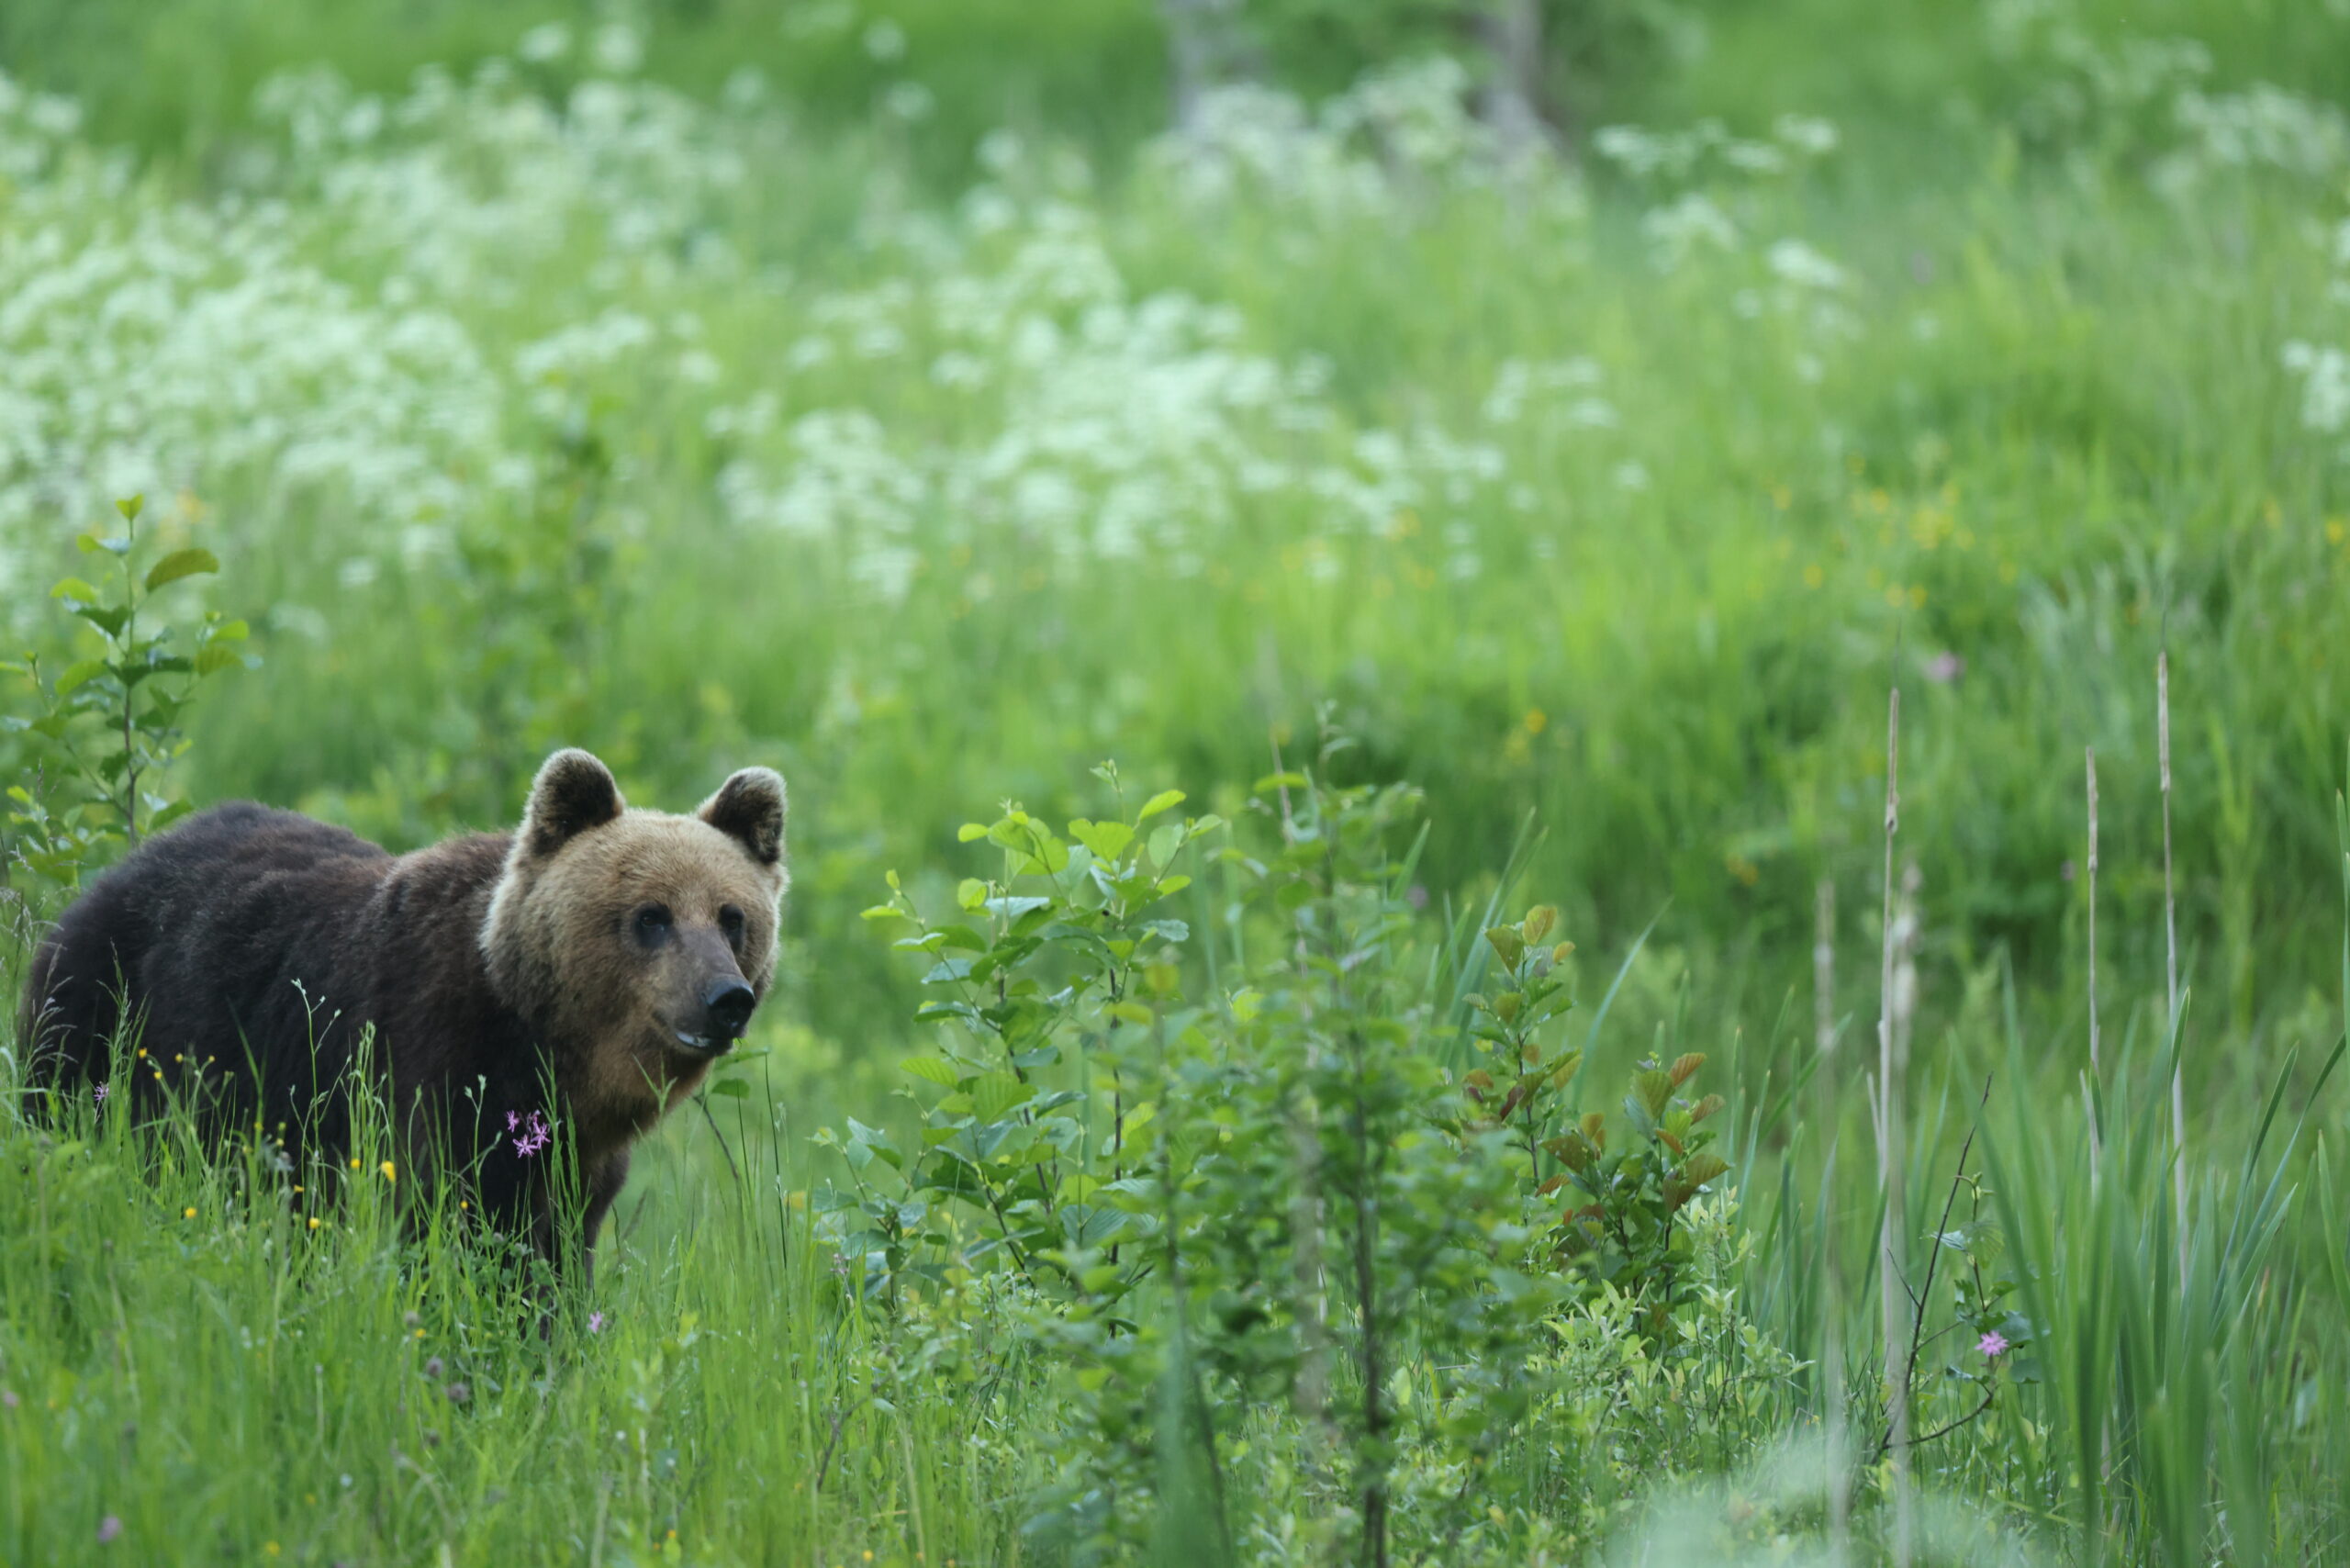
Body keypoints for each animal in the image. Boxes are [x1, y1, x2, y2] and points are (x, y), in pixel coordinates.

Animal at [14, 748, 787, 1272]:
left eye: (733, 917)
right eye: (651, 916)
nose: (726, 999)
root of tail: (116, 870)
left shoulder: (580, 1163)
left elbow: (558, 1256)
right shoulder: (435, 1067)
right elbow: (457, 1225)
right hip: (108, 1024)